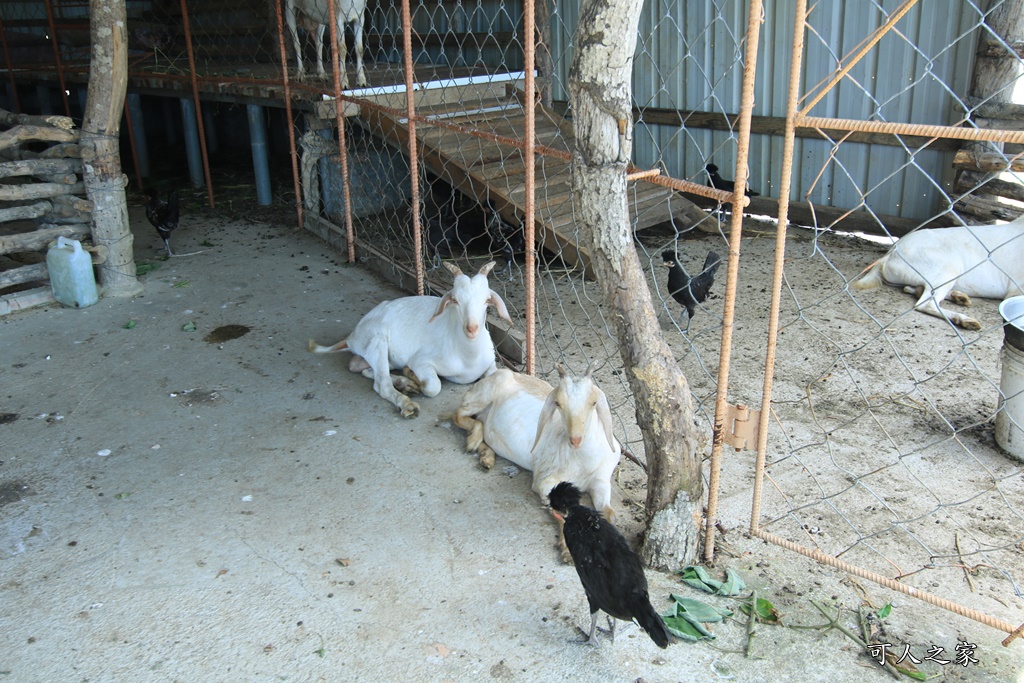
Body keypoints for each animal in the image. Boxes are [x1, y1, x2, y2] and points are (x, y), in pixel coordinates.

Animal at [305, 264, 509, 417]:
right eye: (455, 300)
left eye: (486, 300)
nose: (472, 328)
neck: (468, 356)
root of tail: (352, 336)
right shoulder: (421, 360)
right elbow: (433, 387)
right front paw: (415, 379)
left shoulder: (490, 363)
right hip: (377, 341)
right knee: (382, 384)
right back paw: (406, 401)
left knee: (364, 369)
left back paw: (403, 383)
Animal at [456, 362, 622, 561]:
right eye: (558, 403)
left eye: (594, 402)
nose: (575, 439)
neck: (582, 462)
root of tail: (502, 371)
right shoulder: (545, 481)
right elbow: (562, 510)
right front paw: (567, 551)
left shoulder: (601, 480)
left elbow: (610, 514)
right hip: (482, 395)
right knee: (458, 414)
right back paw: (473, 441)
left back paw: (485, 457)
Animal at [847, 215, 1024, 329]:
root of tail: (891, 253)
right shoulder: (1016, 289)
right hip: (949, 268)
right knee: (926, 302)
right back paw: (965, 320)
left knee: (914, 289)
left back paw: (960, 297)